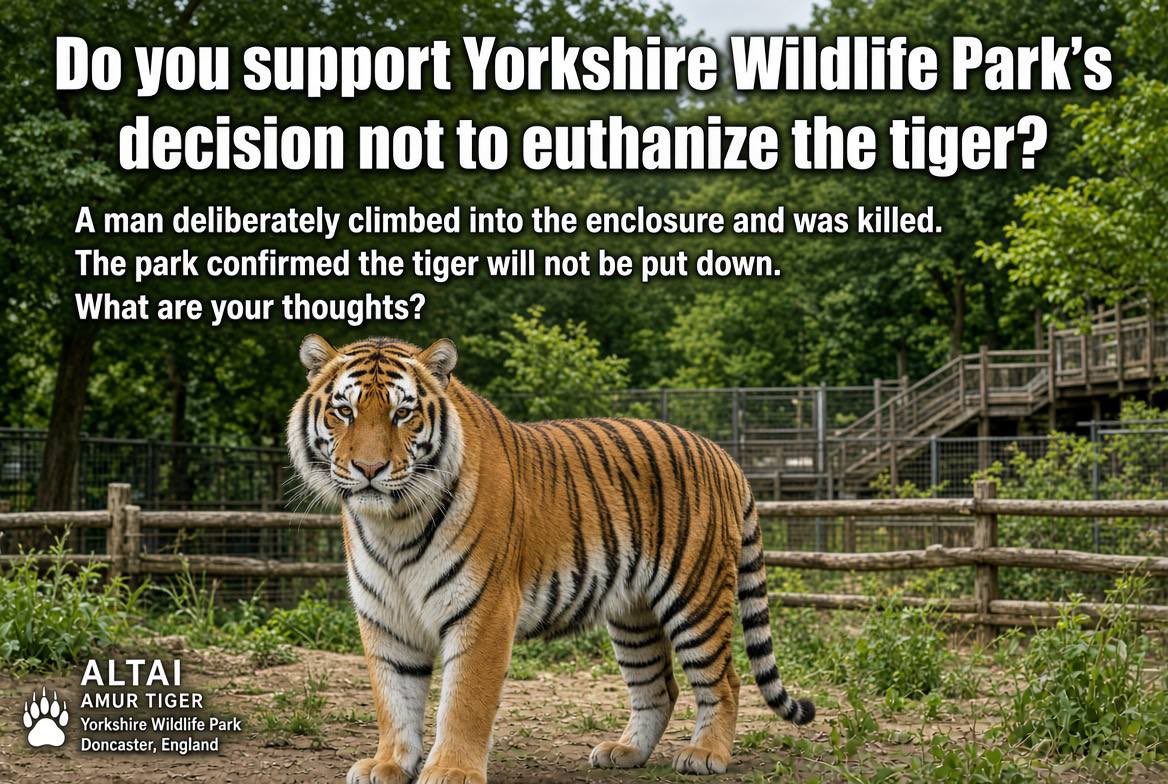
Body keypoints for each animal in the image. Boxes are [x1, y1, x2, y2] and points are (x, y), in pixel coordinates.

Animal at [287, 334, 814, 784]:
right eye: (344, 411)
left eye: (403, 413)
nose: (369, 469)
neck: (393, 523)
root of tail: (724, 455)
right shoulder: (385, 616)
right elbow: (393, 699)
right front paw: (388, 764)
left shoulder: (484, 610)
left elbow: (464, 701)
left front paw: (452, 770)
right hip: (634, 613)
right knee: (658, 687)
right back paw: (626, 752)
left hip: (695, 597)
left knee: (725, 681)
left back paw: (706, 755)